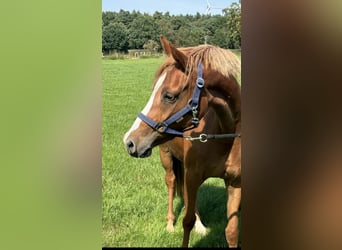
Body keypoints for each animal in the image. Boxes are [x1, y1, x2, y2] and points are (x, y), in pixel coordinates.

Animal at [123, 35, 240, 248]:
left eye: (169, 96)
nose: (130, 141)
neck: (224, 135)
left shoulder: (235, 182)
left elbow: (232, 231)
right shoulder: (192, 175)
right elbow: (187, 222)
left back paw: (201, 226)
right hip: (167, 158)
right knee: (171, 183)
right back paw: (170, 224)